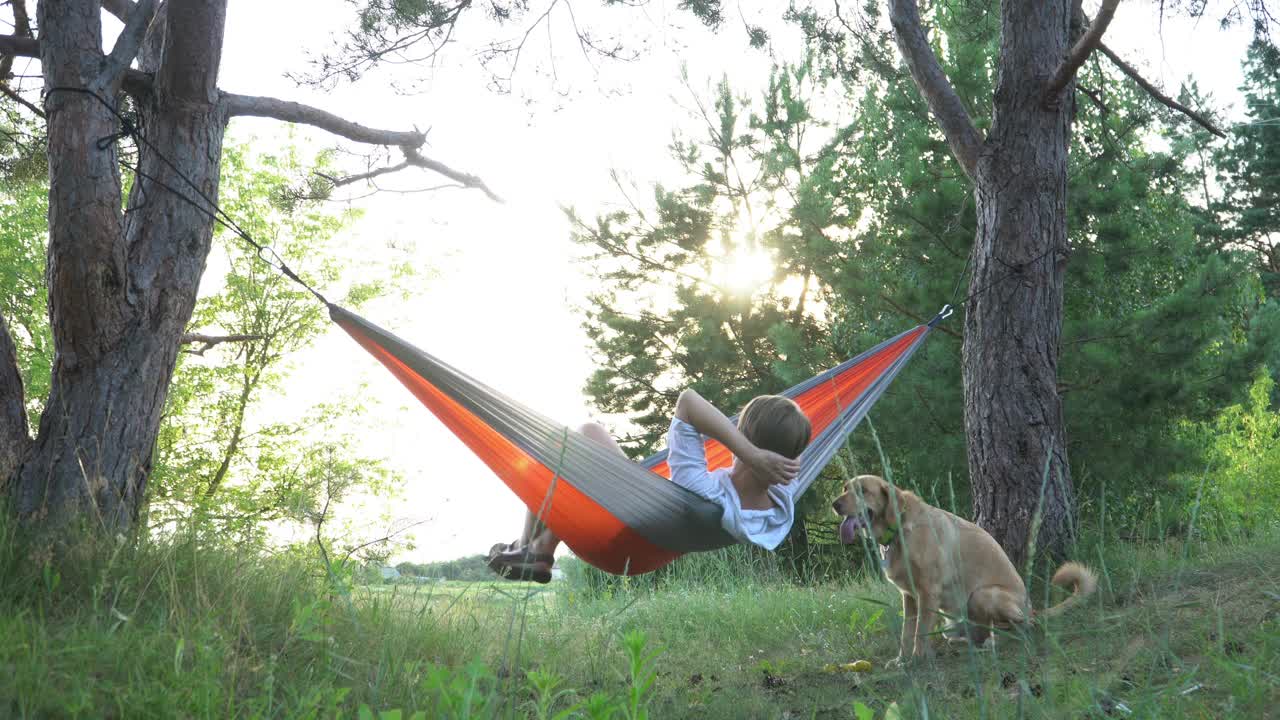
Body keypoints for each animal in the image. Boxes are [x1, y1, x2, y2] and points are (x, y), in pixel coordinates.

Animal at [829, 474, 1100, 666]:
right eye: (844, 488)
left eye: (863, 490)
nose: (834, 504)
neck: (899, 530)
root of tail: (1032, 609)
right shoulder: (909, 597)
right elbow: (907, 632)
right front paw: (901, 660)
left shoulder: (927, 593)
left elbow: (918, 632)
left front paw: (917, 660)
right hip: (954, 621)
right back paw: (965, 643)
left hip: (982, 595)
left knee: (1020, 628)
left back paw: (994, 640)